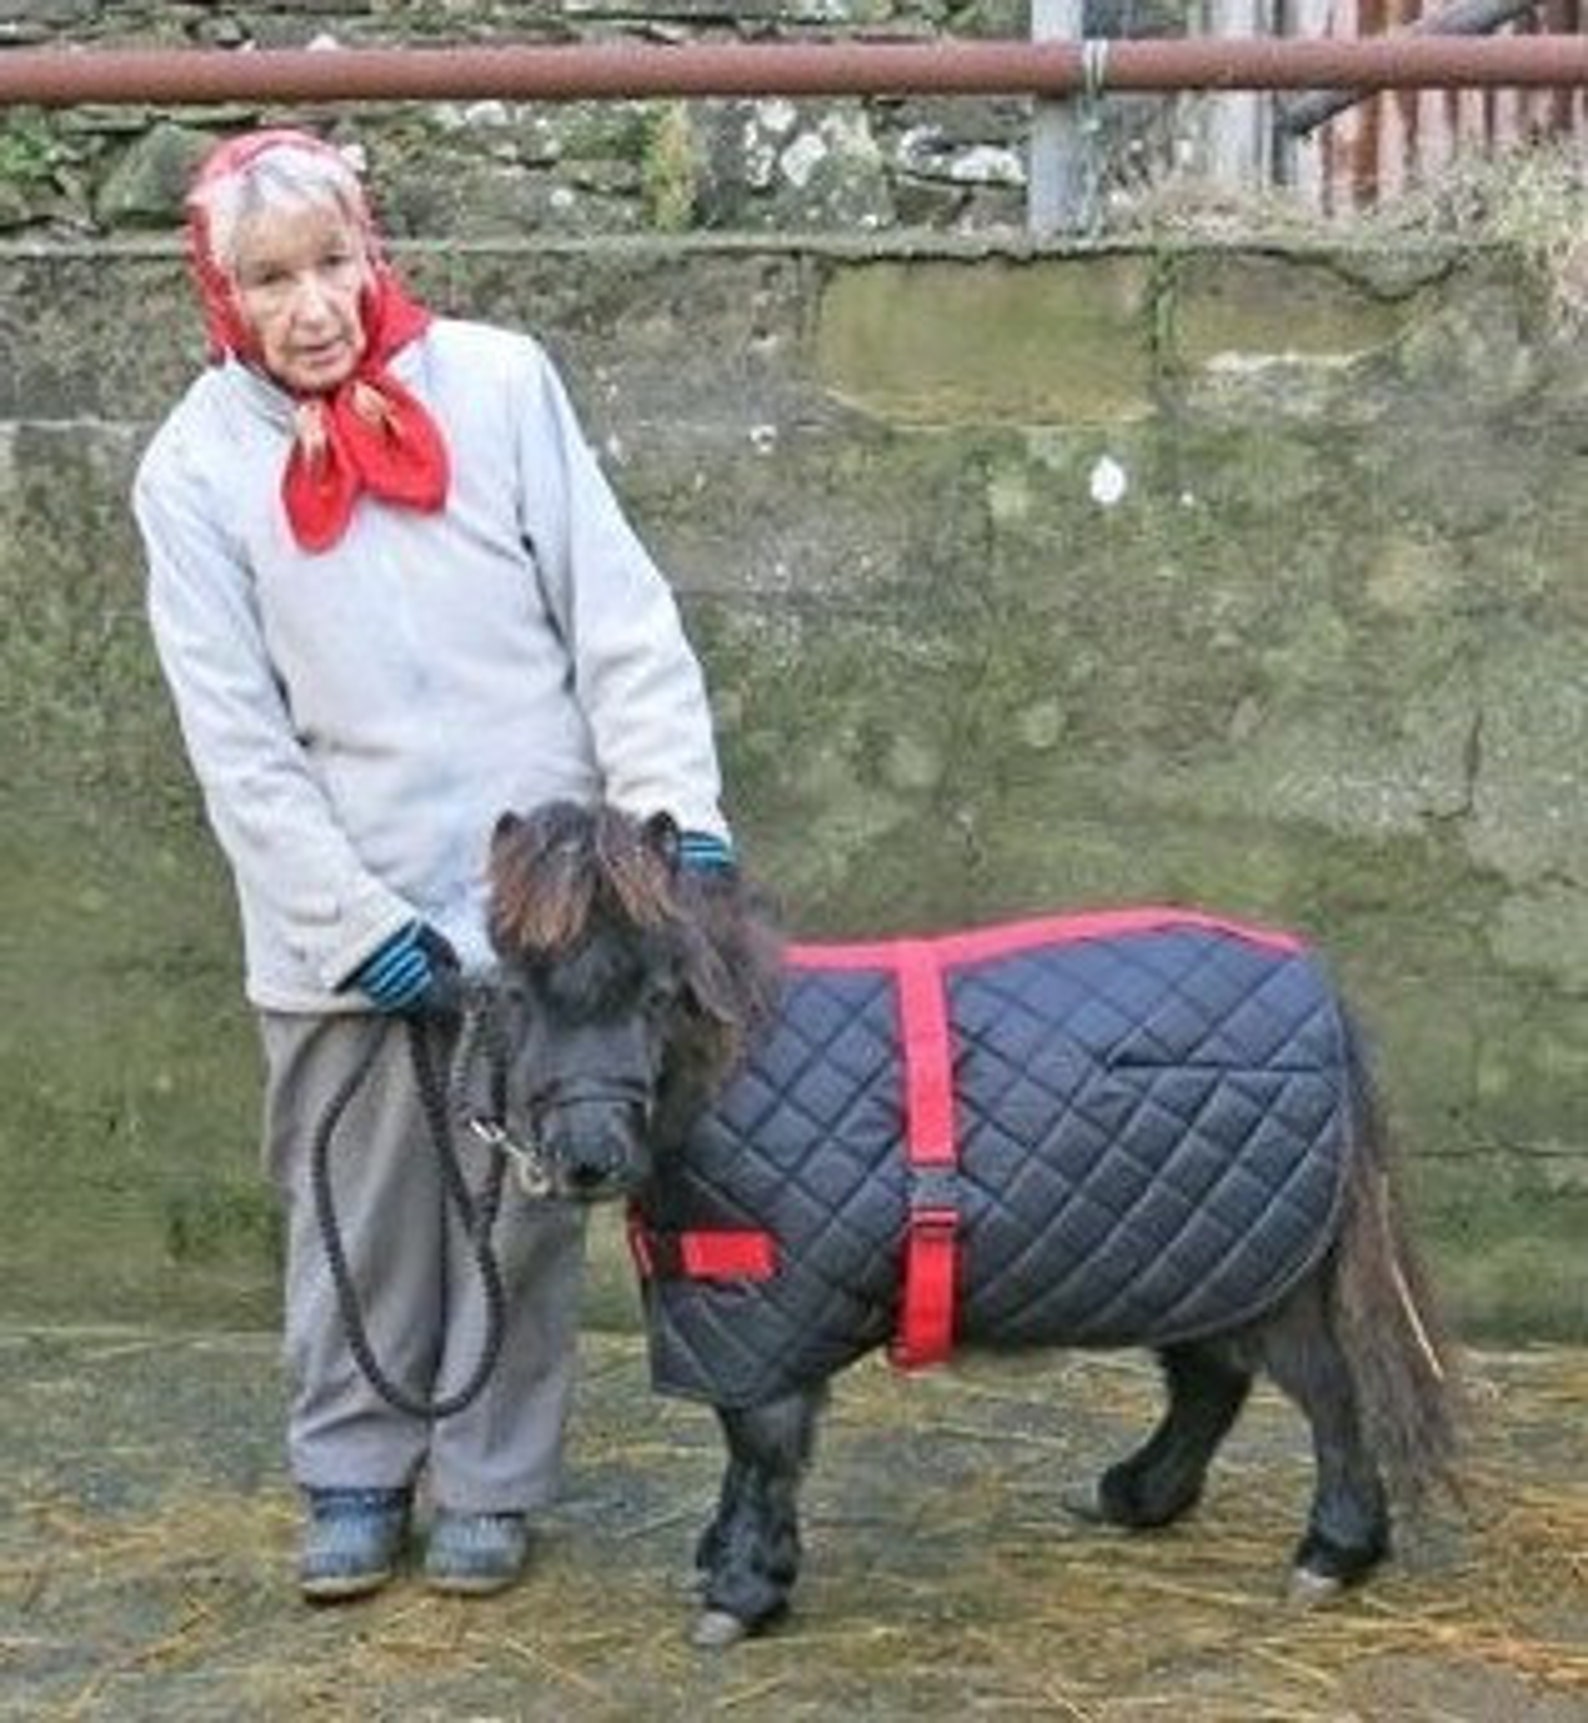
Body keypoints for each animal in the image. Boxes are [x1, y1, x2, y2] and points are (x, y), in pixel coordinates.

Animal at [463, 799, 1460, 1648]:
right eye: (514, 992)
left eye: (658, 991)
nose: (590, 1156)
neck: (733, 1069)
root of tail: (1320, 996)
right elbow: (745, 1447)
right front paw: (721, 1562)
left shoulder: (772, 1313)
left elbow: (763, 1446)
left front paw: (742, 1591)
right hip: (1192, 1257)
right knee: (1209, 1379)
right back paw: (1135, 1495)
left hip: (1267, 1272)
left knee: (1329, 1392)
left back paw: (1331, 1553)